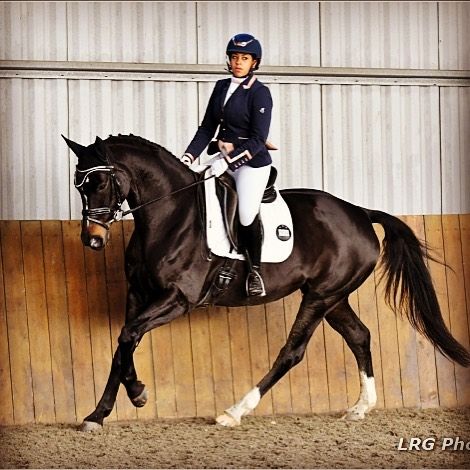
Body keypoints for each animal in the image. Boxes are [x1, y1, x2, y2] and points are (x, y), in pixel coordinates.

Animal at [63, 134, 470, 432]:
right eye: (79, 184)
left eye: (99, 181)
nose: (92, 239)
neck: (172, 216)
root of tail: (359, 212)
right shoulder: (139, 293)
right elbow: (124, 341)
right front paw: (110, 407)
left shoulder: (179, 298)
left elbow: (129, 335)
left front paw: (124, 401)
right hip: (334, 297)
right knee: (360, 336)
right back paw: (360, 407)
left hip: (320, 297)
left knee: (292, 351)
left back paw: (233, 412)